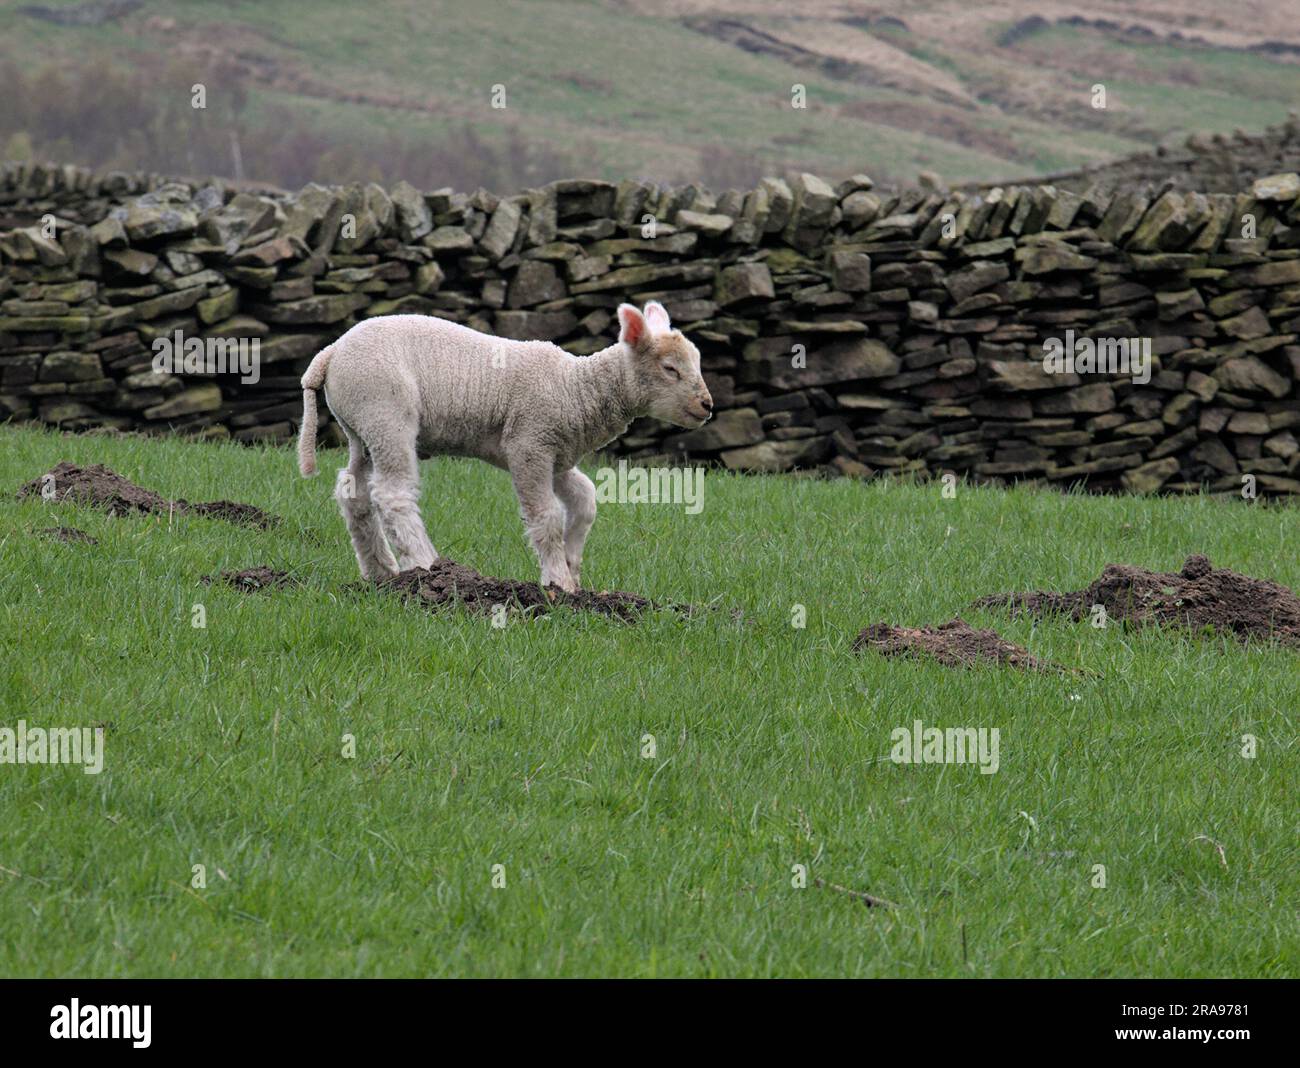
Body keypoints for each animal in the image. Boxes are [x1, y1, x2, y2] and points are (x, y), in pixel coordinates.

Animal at [297, 302, 712, 595]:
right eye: (670, 369)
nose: (707, 405)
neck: (577, 389)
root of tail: (330, 353)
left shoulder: (558, 455)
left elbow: (585, 498)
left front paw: (573, 566)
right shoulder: (530, 443)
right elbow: (546, 516)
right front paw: (558, 582)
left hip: (360, 428)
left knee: (353, 492)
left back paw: (381, 571)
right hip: (386, 412)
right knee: (392, 494)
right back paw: (430, 567)